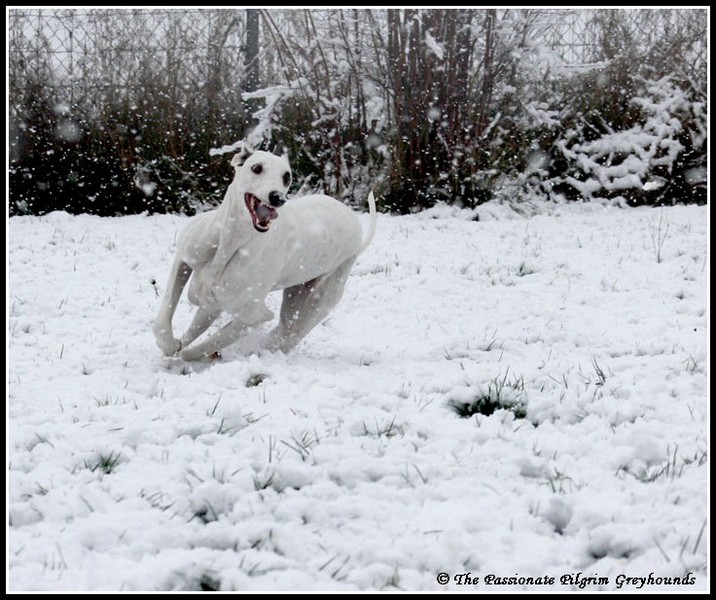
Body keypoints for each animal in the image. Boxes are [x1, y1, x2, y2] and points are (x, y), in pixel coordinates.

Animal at [153, 144, 377, 361]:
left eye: (286, 176)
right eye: (256, 168)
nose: (277, 197)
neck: (231, 241)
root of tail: (356, 224)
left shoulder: (253, 316)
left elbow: (200, 349)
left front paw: (189, 354)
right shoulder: (184, 259)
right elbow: (163, 319)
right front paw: (170, 344)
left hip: (319, 300)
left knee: (287, 335)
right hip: (292, 294)